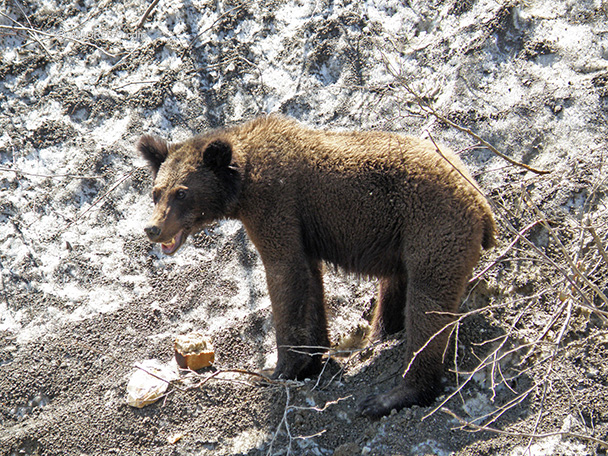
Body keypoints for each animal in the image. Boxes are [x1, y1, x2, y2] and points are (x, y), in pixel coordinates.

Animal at [137, 114, 494, 416]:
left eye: (182, 193)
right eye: (156, 192)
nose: (153, 228)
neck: (242, 184)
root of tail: (480, 198)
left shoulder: (276, 205)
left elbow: (285, 274)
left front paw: (277, 368)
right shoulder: (302, 227)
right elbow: (309, 282)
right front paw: (313, 356)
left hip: (432, 224)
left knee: (428, 307)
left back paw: (390, 396)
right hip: (404, 235)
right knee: (397, 288)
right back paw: (377, 336)